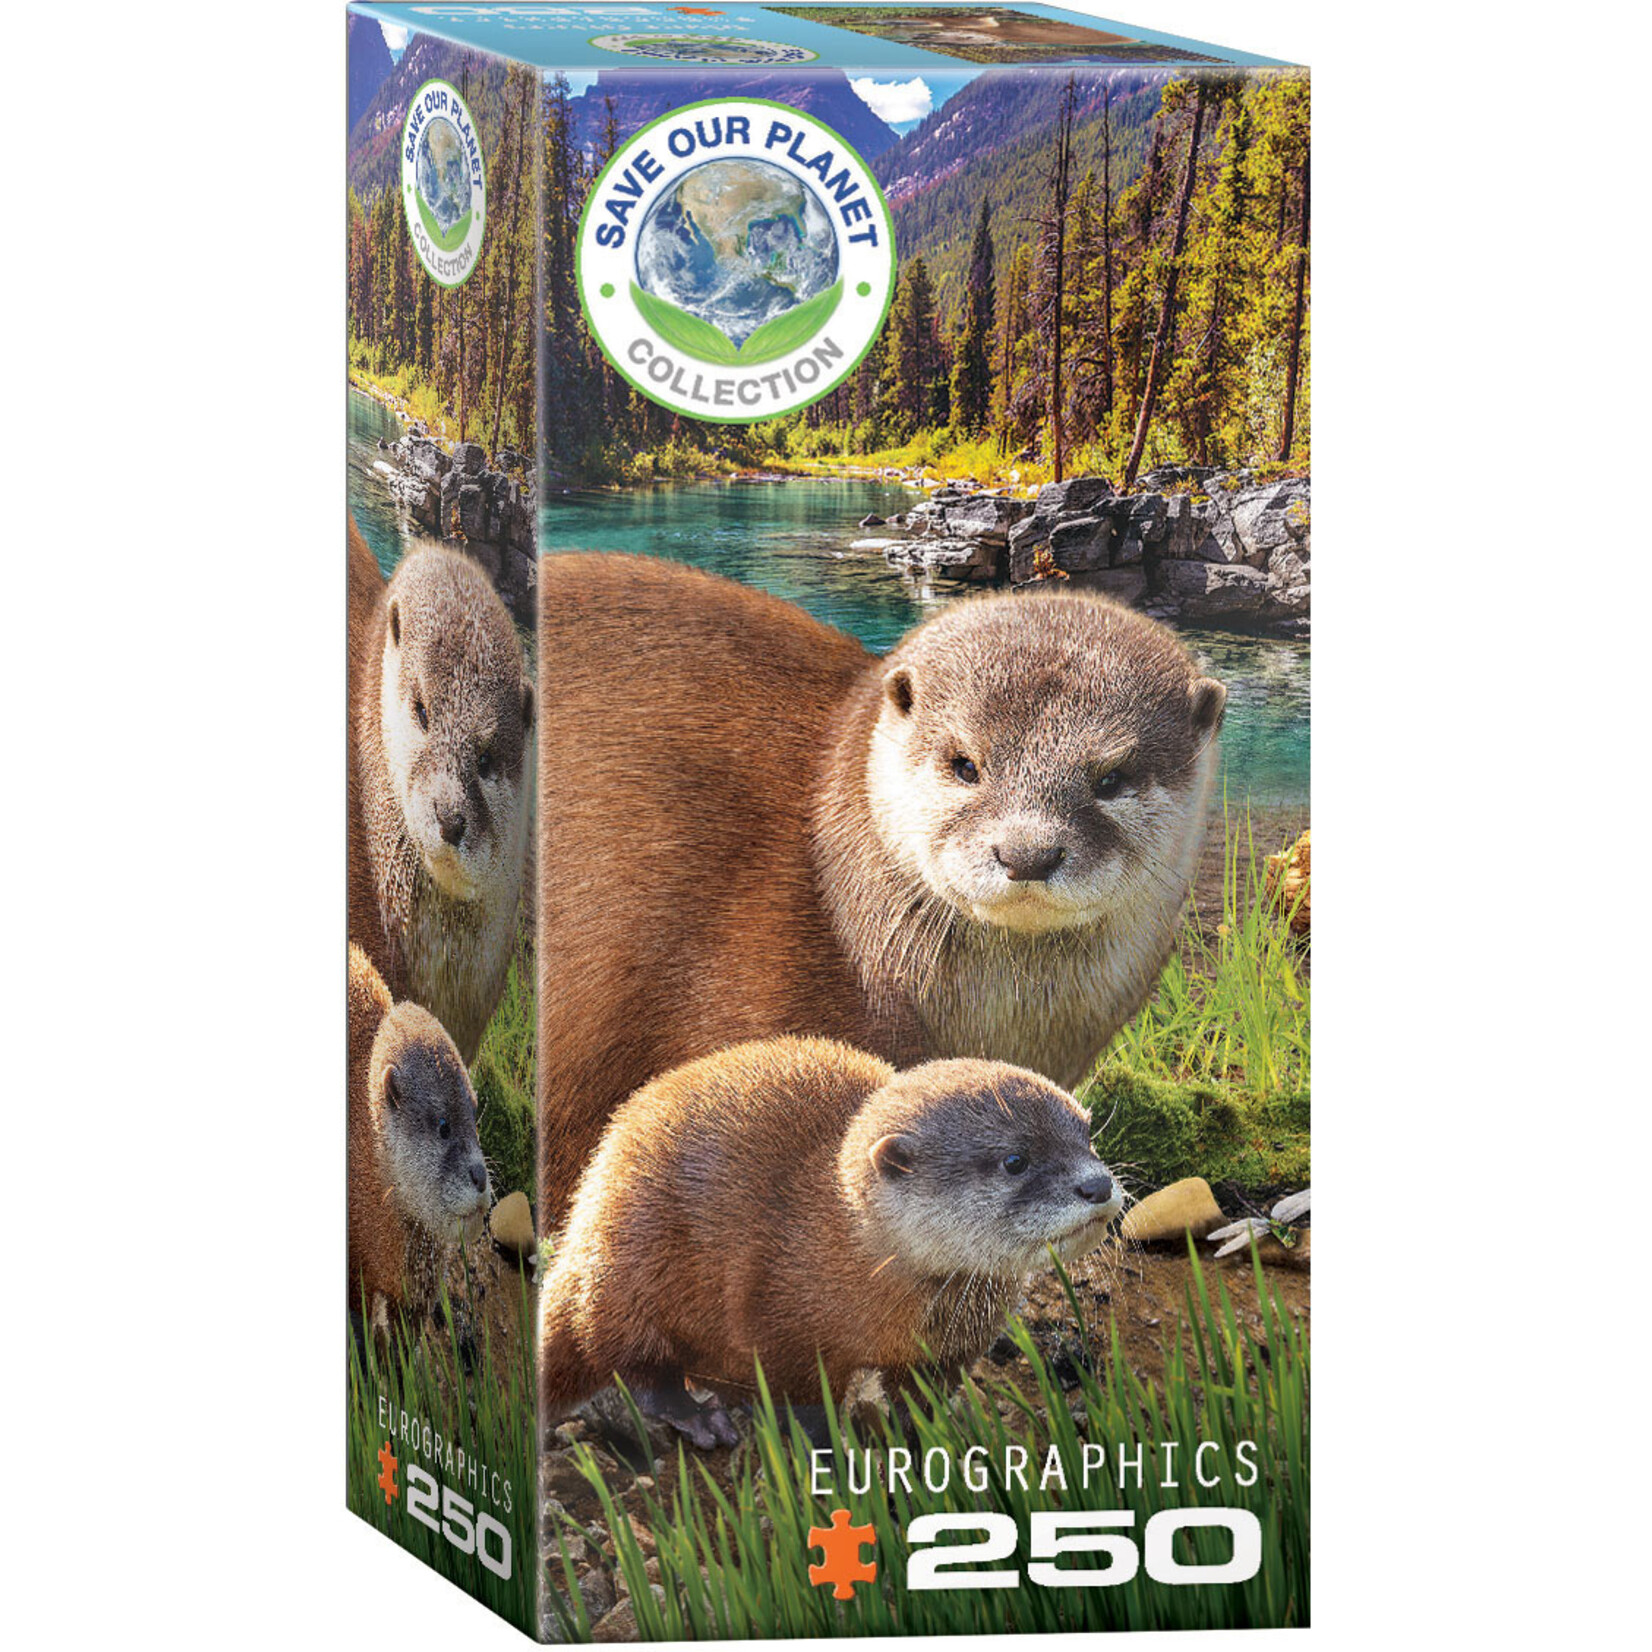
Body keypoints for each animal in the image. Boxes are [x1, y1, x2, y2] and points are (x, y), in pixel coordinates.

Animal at [538, 1036, 1121, 1446]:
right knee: (624, 1357)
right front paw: (830, 1453)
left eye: (1087, 1132)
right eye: (1014, 1160)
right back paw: (701, 1418)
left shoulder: (949, 1350)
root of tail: (585, 1219)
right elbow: (803, 1403)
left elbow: (925, 1399)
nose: (1098, 1184)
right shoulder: (780, 1319)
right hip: (633, 1263)